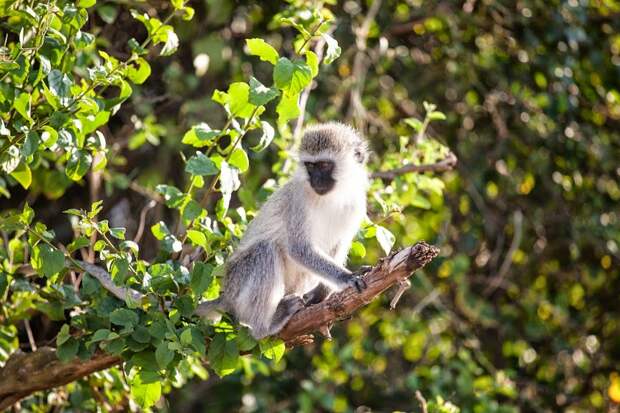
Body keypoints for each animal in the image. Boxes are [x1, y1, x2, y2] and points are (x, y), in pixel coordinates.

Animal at [196, 120, 368, 336]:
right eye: (310, 166)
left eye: (324, 165)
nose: (316, 181)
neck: (333, 196)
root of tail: (226, 294)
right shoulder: (298, 199)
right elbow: (299, 249)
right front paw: (346, 277)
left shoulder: (357, 202)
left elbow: (340, 244)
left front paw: (322, 293)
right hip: (238, 283)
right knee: (264, 251)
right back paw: (265, 325)